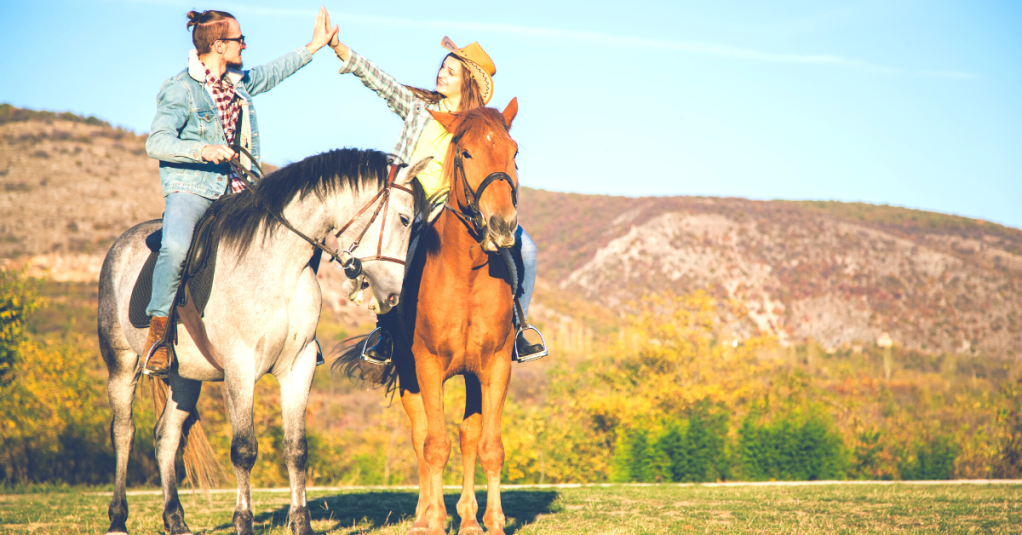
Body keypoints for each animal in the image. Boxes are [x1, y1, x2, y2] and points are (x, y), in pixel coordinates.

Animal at [99, 149, 431, 535]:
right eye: (405, 219)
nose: (393, 295)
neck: (280, 267)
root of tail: (122, 243)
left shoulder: (299, 365)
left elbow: (296, 448)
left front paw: (301, 523)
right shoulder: (240, 368)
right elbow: (244, 449)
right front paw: (243, 521)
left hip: (185, 378)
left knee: (166, 436)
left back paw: (175, 519)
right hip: (121, 364)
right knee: (124, 432)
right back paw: (118, 518)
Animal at [337, 100, 522, 535]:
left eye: (515, 151)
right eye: (466, 153)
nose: (503, 226)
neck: (467, 273)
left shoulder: (496, 365)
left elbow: (489, 446)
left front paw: (491, 521)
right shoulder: (428, 365)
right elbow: (434, 445)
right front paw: (436, 520)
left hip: (471, 375)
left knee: (468, 435)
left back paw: (468, 518)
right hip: (408, 372)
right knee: (420, 434)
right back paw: (423, 516)